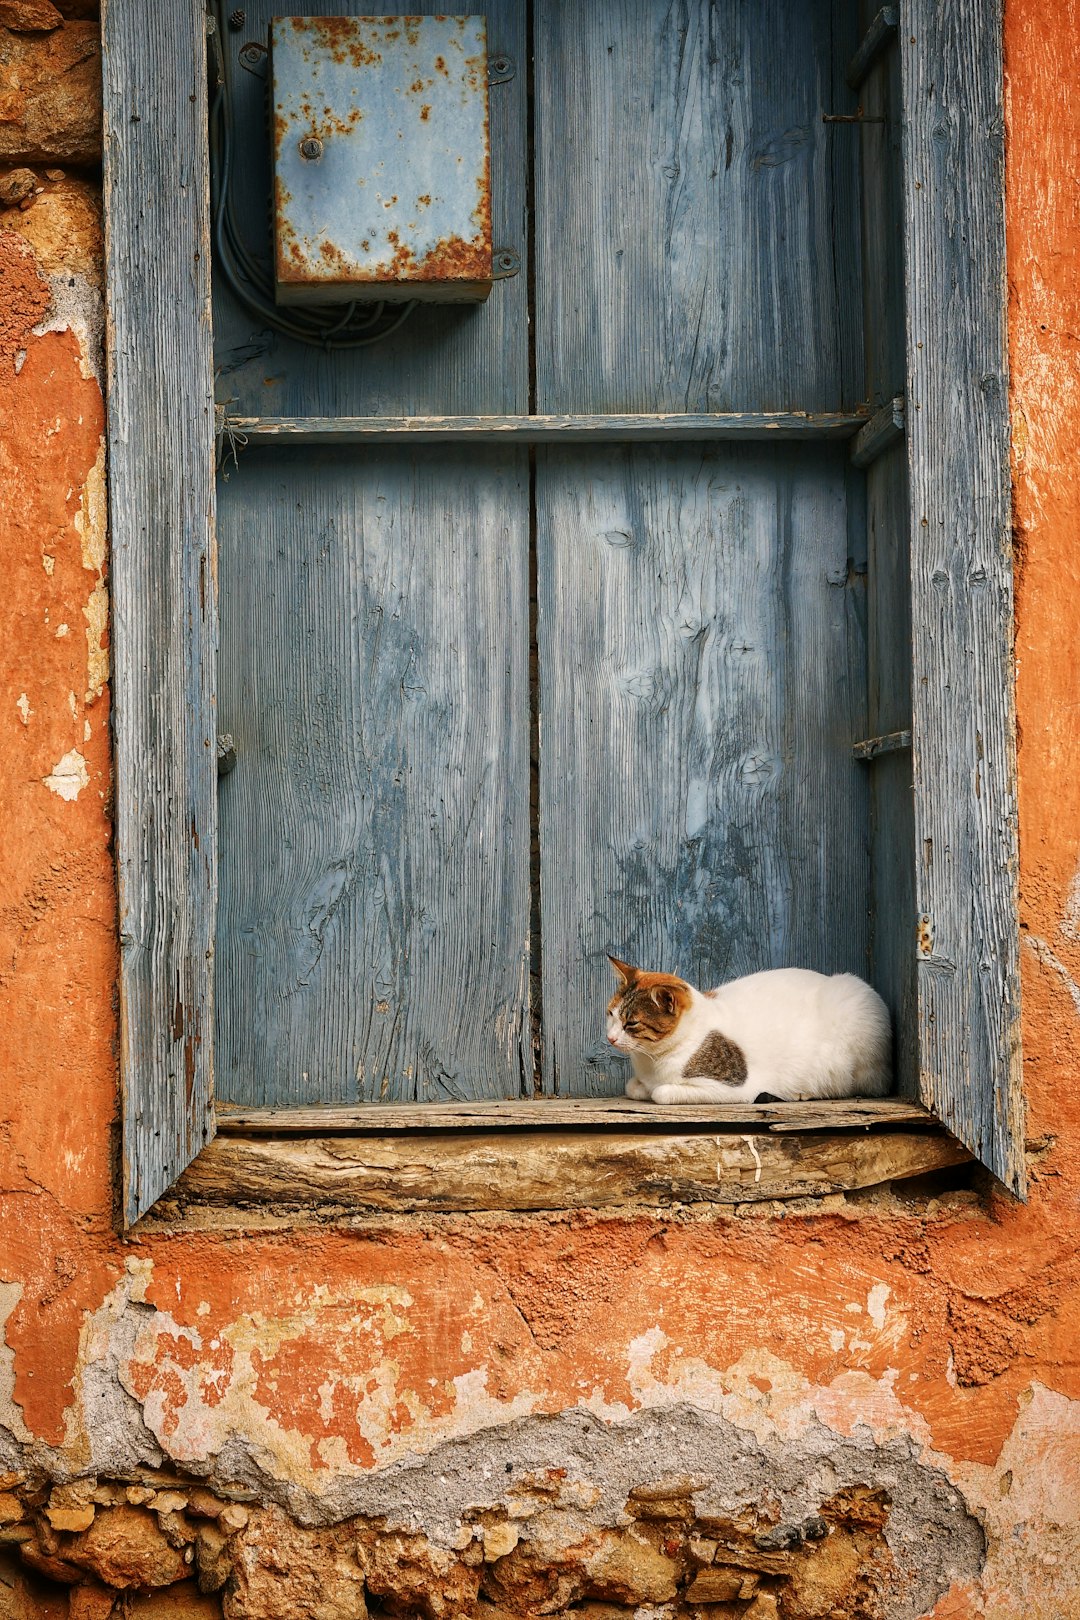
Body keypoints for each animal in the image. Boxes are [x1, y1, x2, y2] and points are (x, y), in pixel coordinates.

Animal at [605, 952, 893, 1108]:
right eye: (610, 1014)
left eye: (631, 1023)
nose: (610, 1038)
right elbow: (633, 1087)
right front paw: (641, 1087)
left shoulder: (734, 1088)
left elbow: (661, 1092)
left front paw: (655, 1089)